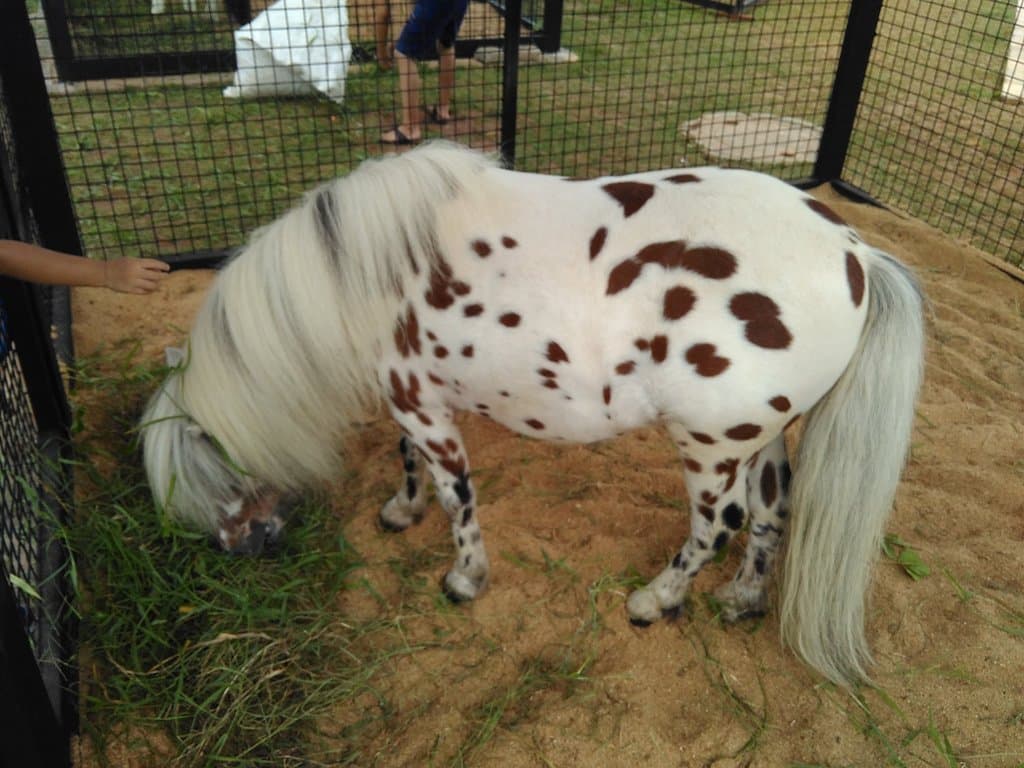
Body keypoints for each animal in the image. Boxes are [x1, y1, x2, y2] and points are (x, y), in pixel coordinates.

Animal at [140, 141, 925, 688]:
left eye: (207, 477)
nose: (238, 550)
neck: (356, 273)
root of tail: (856, 251)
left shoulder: (423, 407)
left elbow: (458, 498)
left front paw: (464, 579)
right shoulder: (409, 397)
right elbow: (406, 460)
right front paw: (401, 511)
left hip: (709, 446)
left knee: (718, 524)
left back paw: (654, 601)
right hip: (759, 439)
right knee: (769, 512)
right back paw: (743, 599)